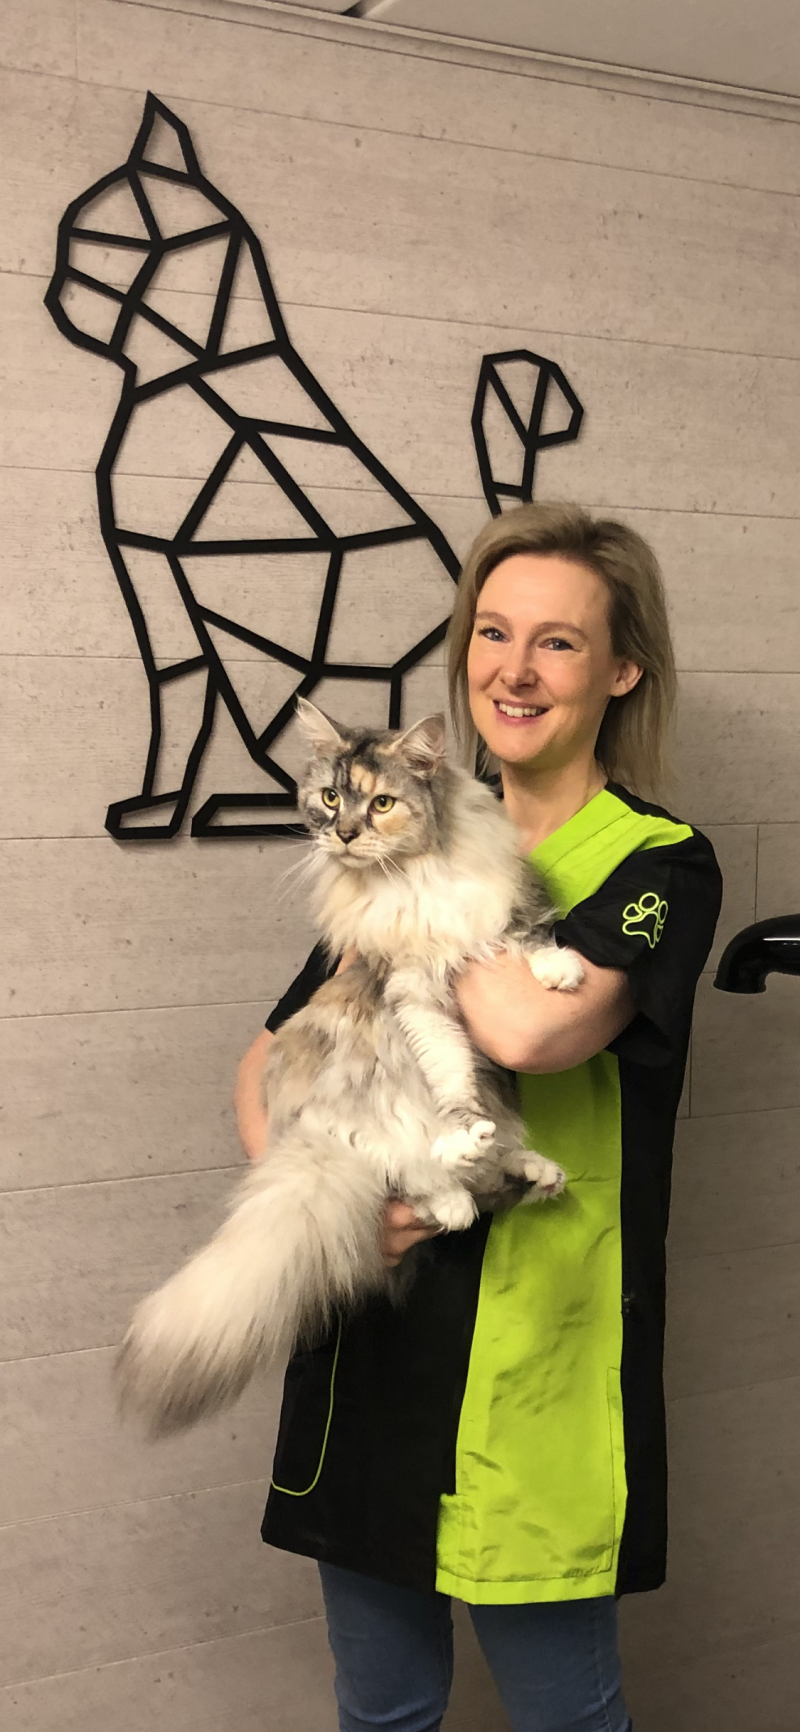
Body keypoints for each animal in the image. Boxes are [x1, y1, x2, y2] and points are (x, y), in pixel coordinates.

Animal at [116, 700, 584, 1436]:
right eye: (331, 797)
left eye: (382, 802)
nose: (343, 832)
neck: (412, 876)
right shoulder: (410, 987)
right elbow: (449, 1071)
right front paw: (462, 1127)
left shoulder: (498, 904)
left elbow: (526, 935)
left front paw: (561, 971)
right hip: (346, 1118)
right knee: (412, 1175)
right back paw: (454, 1182)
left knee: (491, 1170)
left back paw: (532, 1170)